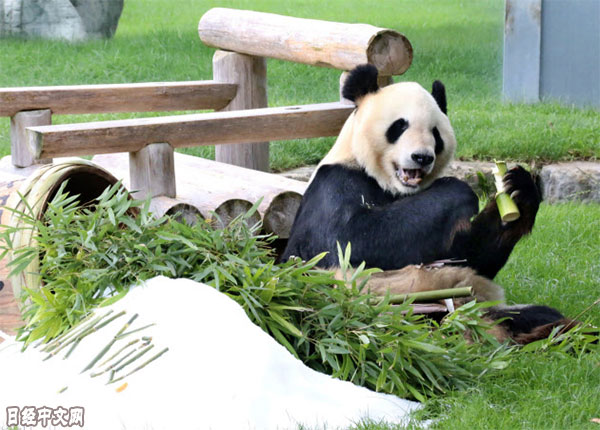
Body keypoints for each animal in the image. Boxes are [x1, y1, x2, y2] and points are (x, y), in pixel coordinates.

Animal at [281, 64, 576, 344]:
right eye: (399, 126)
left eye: (436, 133)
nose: (422, 157)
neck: (393, 188)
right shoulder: (335, 186)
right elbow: (348, 241)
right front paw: (458, 190)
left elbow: (471, 256)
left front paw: (518, 189)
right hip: (400, 312)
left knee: (535, 315)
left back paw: (558, 331)